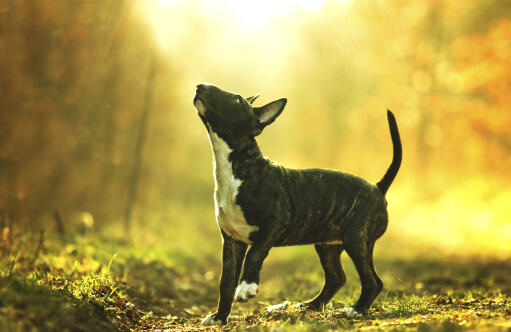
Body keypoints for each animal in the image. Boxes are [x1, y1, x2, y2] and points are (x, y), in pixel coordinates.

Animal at [194, 83, 402, 324]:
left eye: (237, 99)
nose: (200, 86)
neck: (238, 167)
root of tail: (377, 188)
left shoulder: (275, 223)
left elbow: (255, 254)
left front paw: (247, 287)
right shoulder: (232, 241)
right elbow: (225, 282)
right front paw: (219, 317)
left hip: (357, 239)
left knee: (373, 280)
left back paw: (357, 309)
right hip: (328, 245)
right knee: (336, 278)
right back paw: (310, 306)